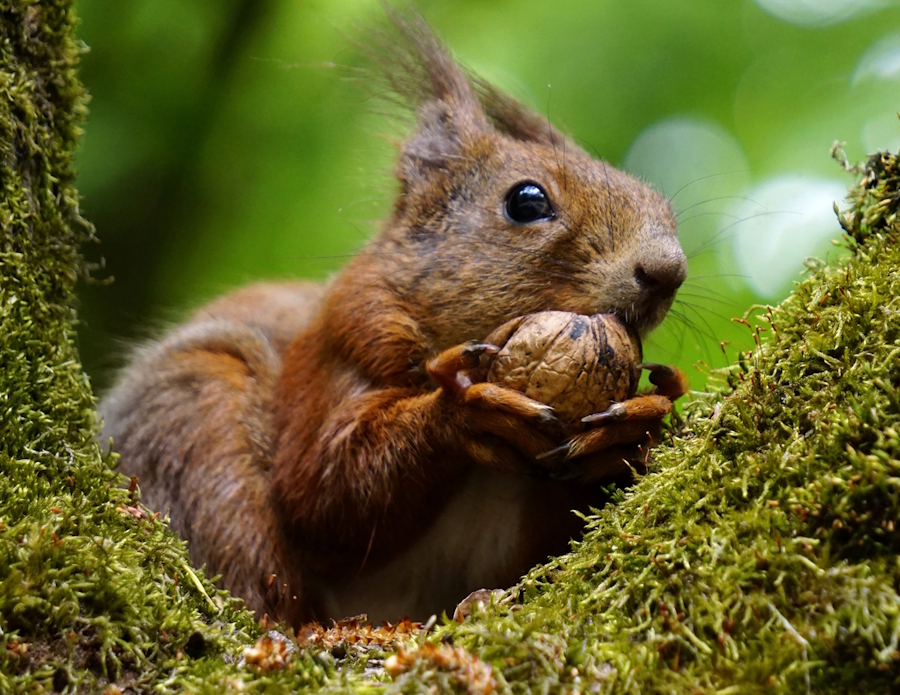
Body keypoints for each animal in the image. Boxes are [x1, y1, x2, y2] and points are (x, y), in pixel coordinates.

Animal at [99, 8, 688, 626]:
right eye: (527, 201)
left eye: (660, 204)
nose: (667, 270)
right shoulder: (346, 341)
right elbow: (323, 496)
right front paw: (465, 411)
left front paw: (636, 427)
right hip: (196, 424)